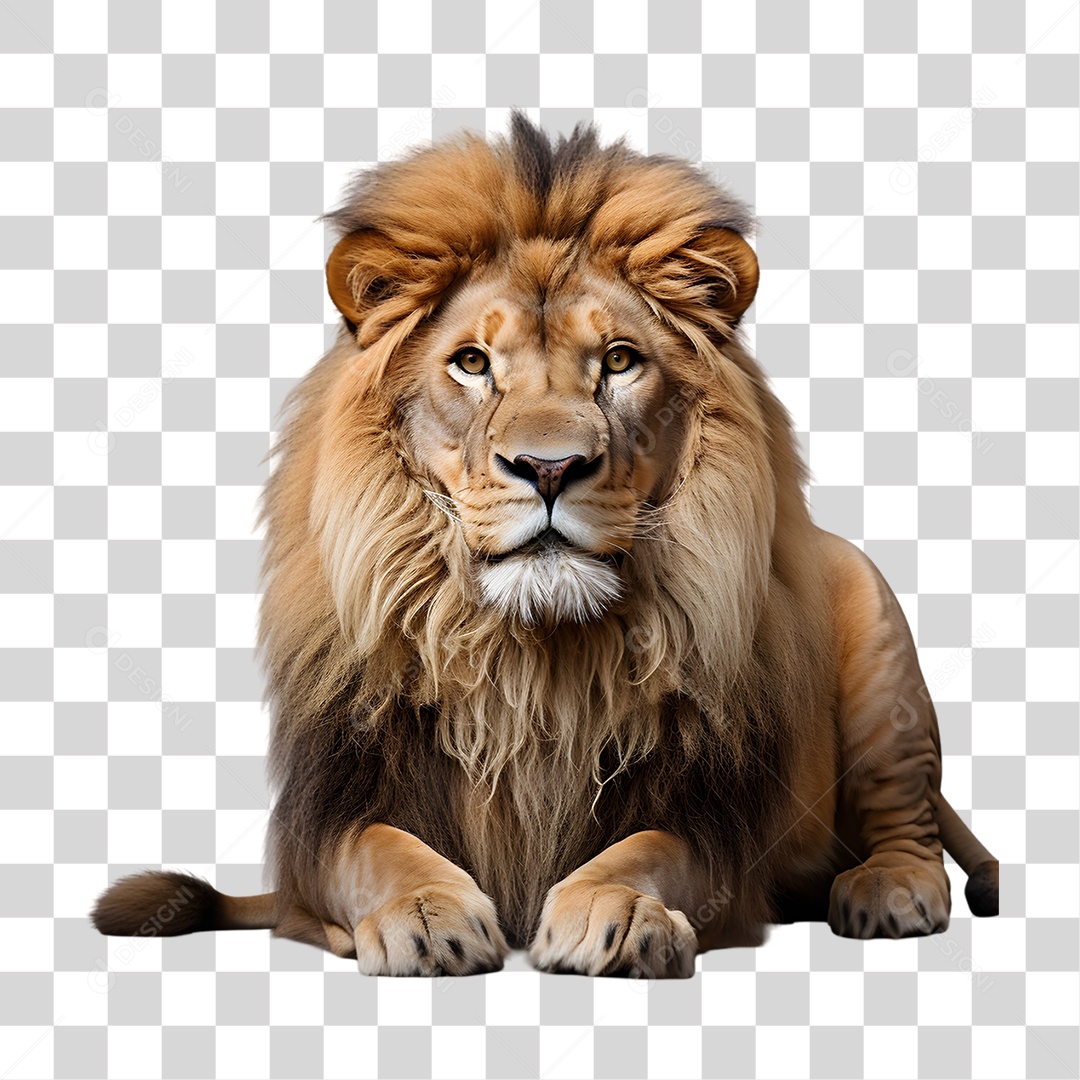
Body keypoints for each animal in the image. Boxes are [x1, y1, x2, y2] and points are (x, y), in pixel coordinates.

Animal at [92, 114, 998, 977]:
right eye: (471, 363)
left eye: (621, 362)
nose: (550, 466)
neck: (532, 662)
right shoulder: (335, 811)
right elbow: (381, 853)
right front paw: (427, 914)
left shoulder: (707, 825)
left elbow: (646, 853)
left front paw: (617, 912)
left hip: (877, 635)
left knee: (905, 812)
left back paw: (891, 890)